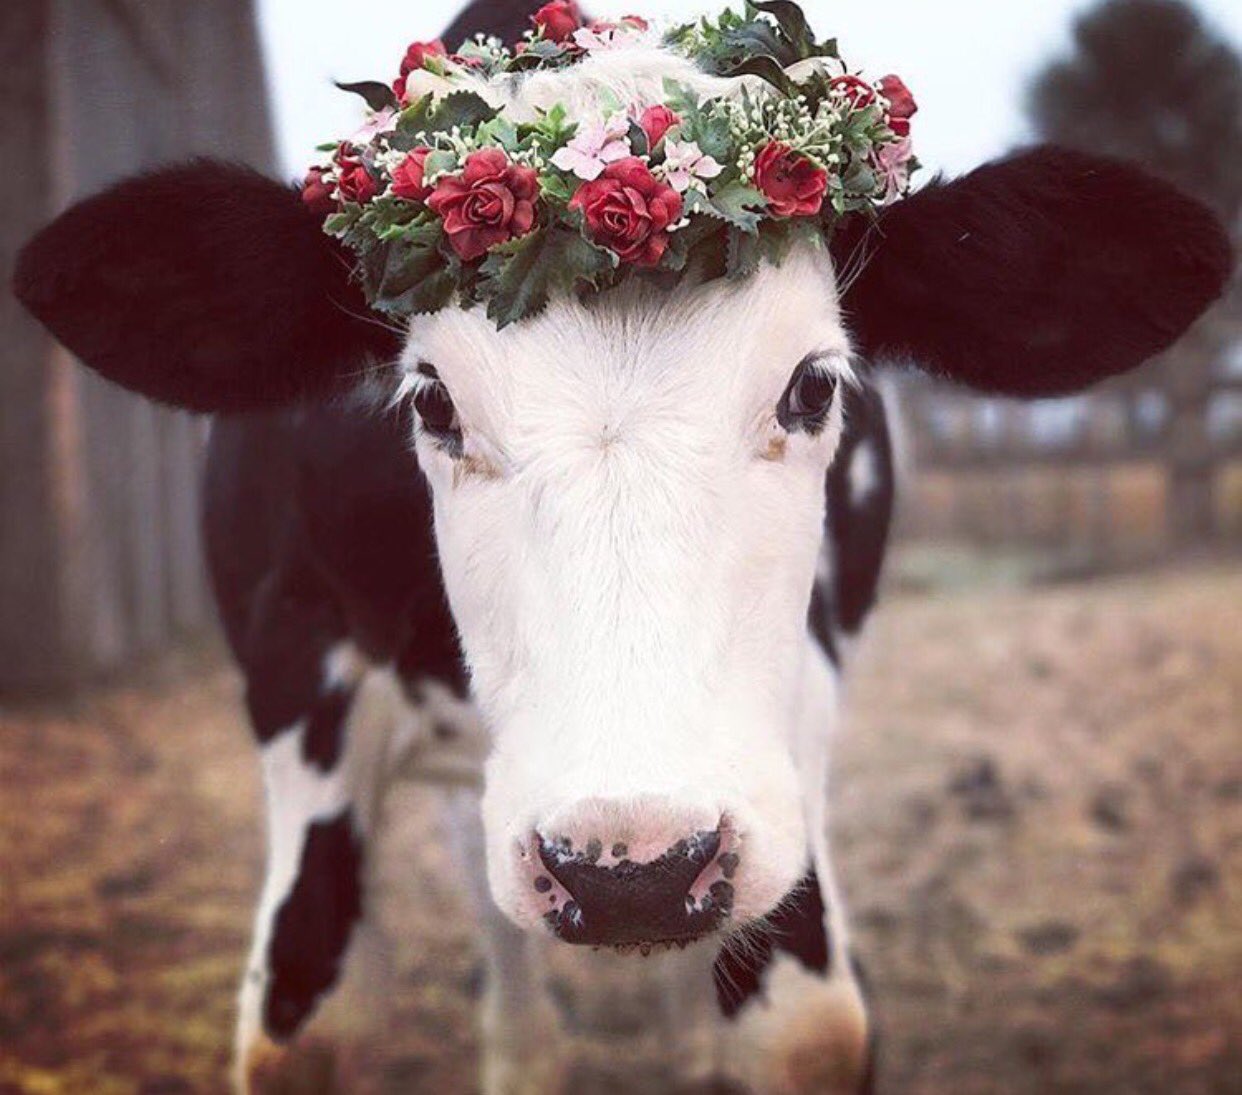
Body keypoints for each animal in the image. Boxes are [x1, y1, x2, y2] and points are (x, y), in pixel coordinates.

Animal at [12, 0, 1232, 1087]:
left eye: (813, 386)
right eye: (432, 402)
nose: (632, 873)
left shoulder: (788, 738)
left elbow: (808, 1027)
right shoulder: (297, 679)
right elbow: (304, 1026)